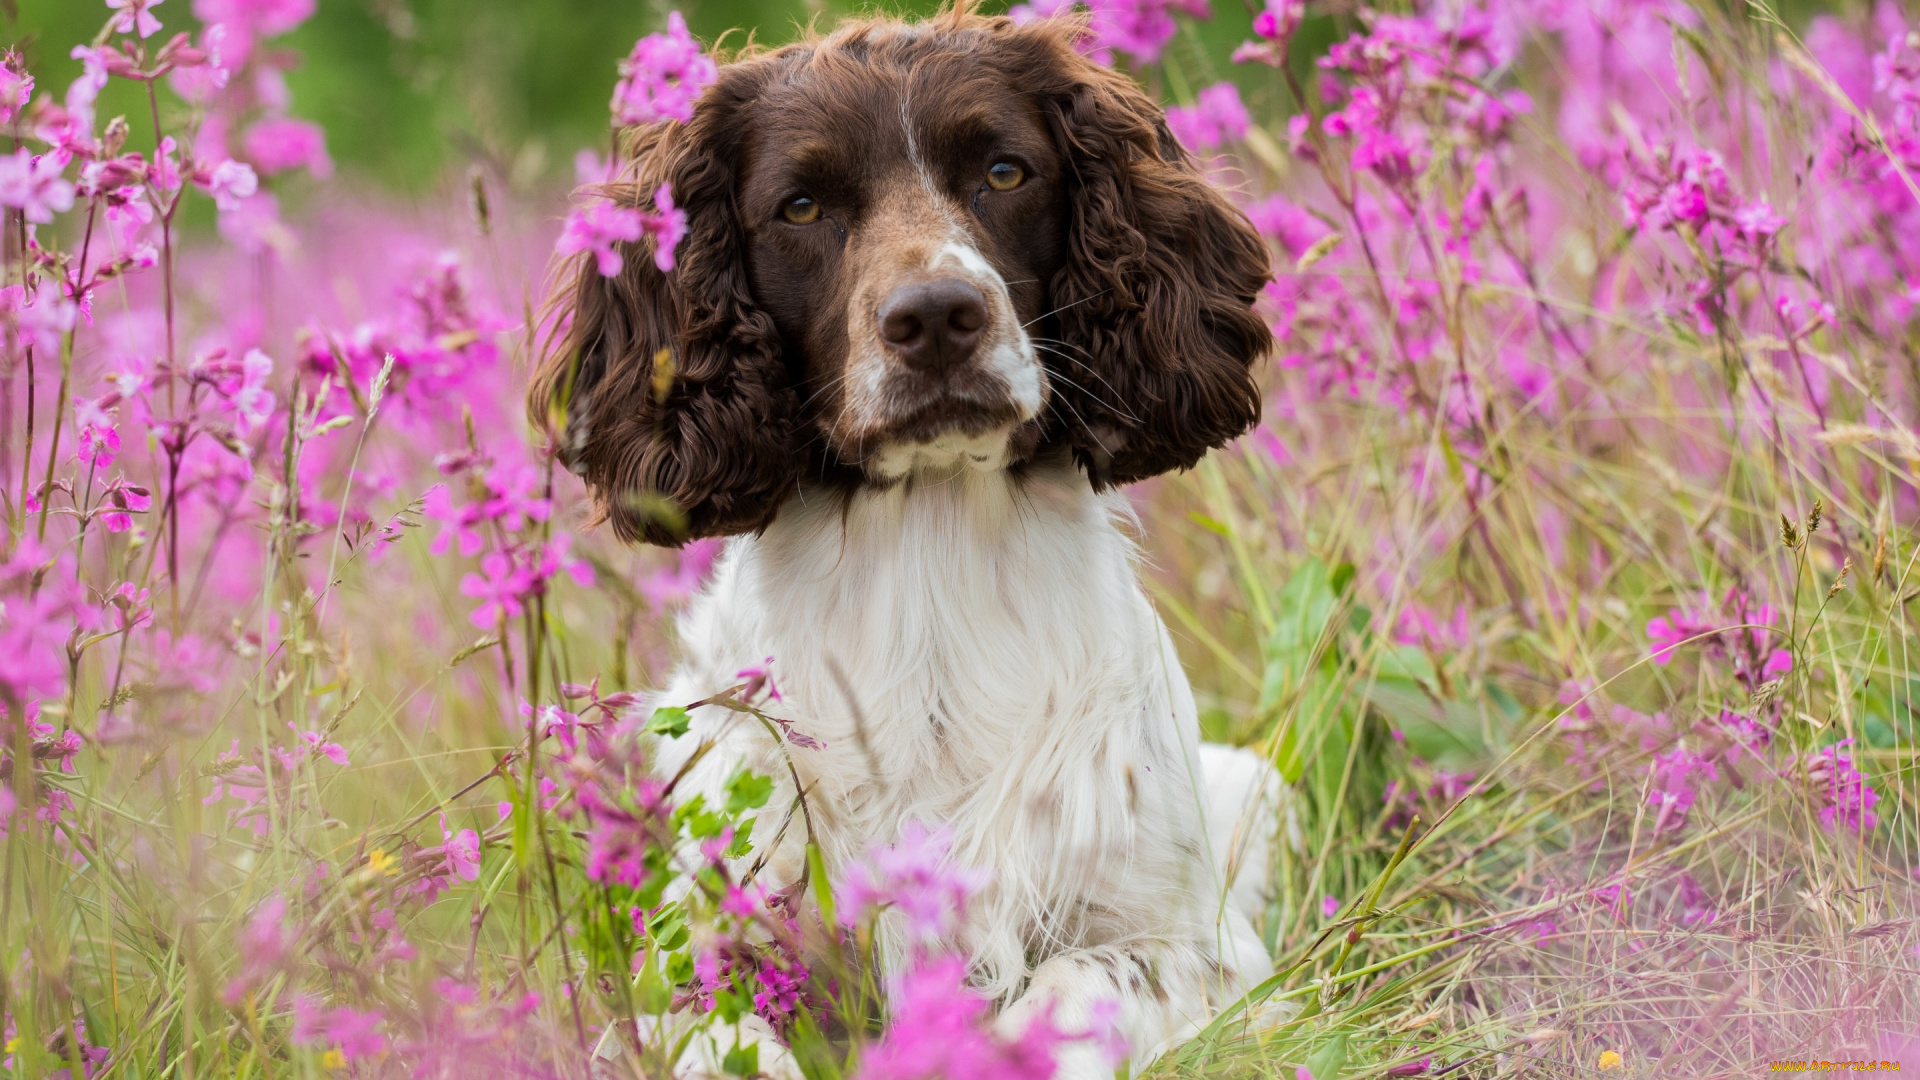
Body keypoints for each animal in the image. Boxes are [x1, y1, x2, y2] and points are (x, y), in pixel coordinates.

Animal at [529, 6, 1290, 1068]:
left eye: (1005, 172)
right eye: (801, 205)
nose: (935, 317)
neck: (928, 565)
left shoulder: (1202, 949)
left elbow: (1070, 989)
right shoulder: (697, 960)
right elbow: (723, 1036)